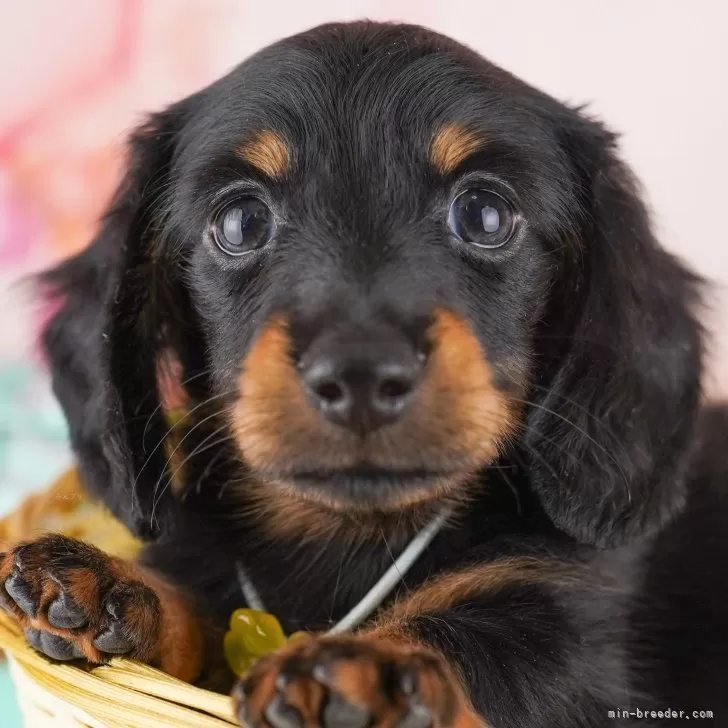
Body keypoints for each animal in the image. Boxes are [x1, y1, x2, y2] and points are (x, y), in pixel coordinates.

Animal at [1, 19, 728, 724]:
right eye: (240, 221)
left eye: (485, 213)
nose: (358, 380)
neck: (350, 533)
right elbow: (196, 610)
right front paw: (113, 584)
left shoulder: (563, 625)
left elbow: (465, 643)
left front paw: (367, 668)